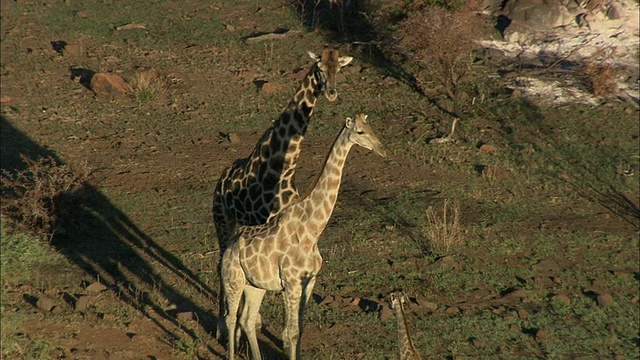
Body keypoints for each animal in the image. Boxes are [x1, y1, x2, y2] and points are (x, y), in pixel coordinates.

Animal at [215, 47, 356, 338]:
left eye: (339, 69)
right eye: (319, 69)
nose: (332, 92)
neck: (285, 165)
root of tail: (220, 180)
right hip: (223, 221)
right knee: (220, 265)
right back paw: (221, 325)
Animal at [222, 114, 388, 358]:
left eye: (371, 127)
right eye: (360, 131)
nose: (382, 149)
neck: (311, 231)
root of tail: (227, 249)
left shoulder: (309, 281)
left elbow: (299, 329)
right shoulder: (291, 283)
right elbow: (289, 332)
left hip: (255, 285)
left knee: (247, 320)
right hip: (233, 280)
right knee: (231, 318)